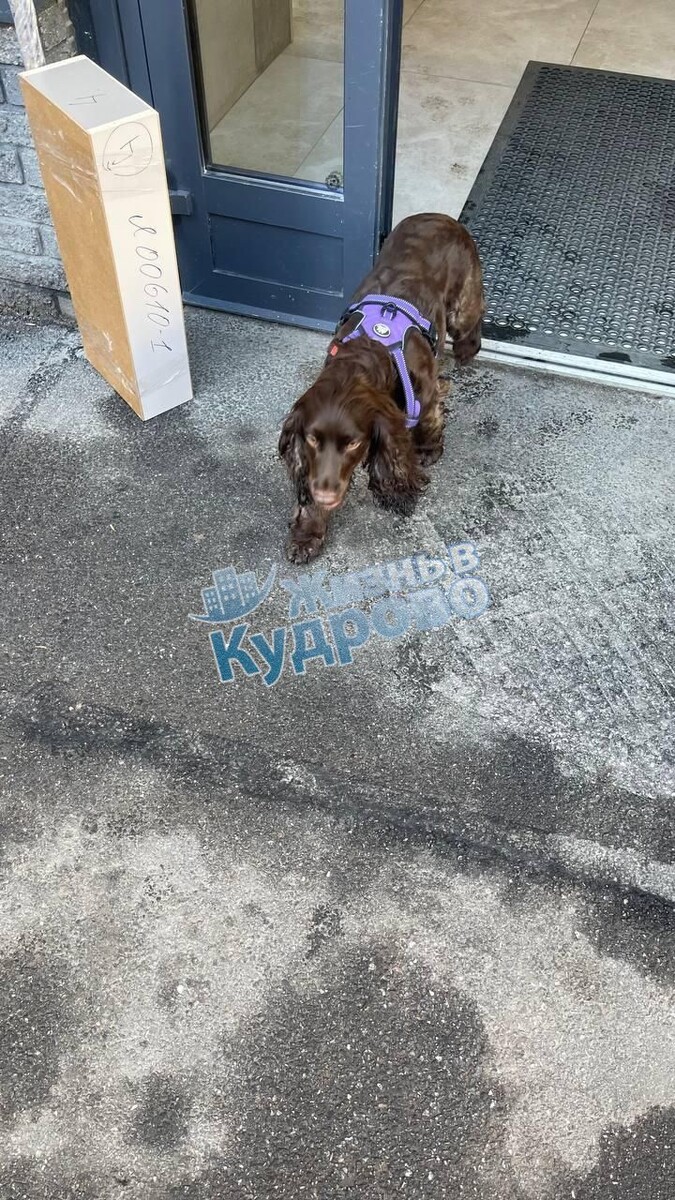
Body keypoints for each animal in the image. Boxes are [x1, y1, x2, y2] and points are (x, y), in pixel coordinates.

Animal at [278, 213, 484, 563]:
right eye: (312, 439)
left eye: (353, 443)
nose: (324, 494)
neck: (371, 352)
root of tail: (442, 217)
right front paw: (308, 533)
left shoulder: (424, 394)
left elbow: (430, 419)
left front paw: (427, 449)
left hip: (462, 308)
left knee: (473, 320)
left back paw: (467, 351)